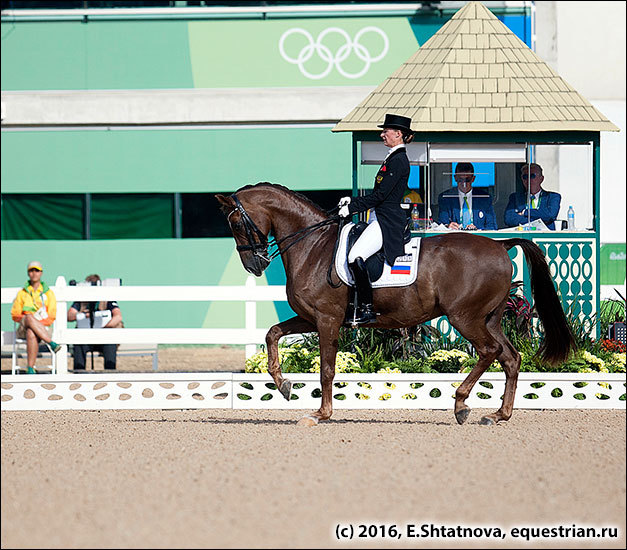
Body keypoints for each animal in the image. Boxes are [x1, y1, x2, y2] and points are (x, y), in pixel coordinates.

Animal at [217, 183, 580, 430]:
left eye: (235, 224)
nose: (254, 265)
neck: (313, 246)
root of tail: (501, 245)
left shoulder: (327, 319)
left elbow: (326, 369)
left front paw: (320, 414)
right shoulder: (311, 317)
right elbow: (272, 333)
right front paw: (284, 385)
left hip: (465, 318)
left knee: (489, 352)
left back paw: (461, 404)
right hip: (489, 318)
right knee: (510, 358)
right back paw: (498, 414)